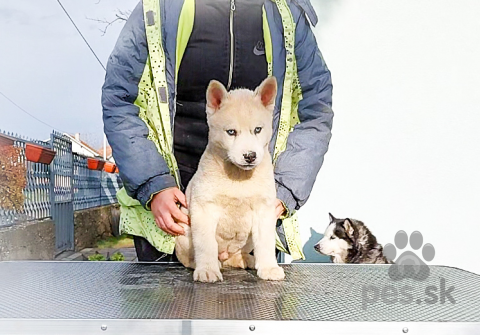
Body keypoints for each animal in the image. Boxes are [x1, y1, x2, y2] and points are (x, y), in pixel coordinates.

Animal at [174, 77, 284, 284]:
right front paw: (207, 270)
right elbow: (206, 245)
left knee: (233, 257)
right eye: (231, 132)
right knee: (190, 258)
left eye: (258, 129)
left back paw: (246, 259)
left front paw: (269, 268)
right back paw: (209, 264)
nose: (250, 156)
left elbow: (265, 243)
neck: (239, 177)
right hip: (184, 232)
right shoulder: (204, 209)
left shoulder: (264, 210)